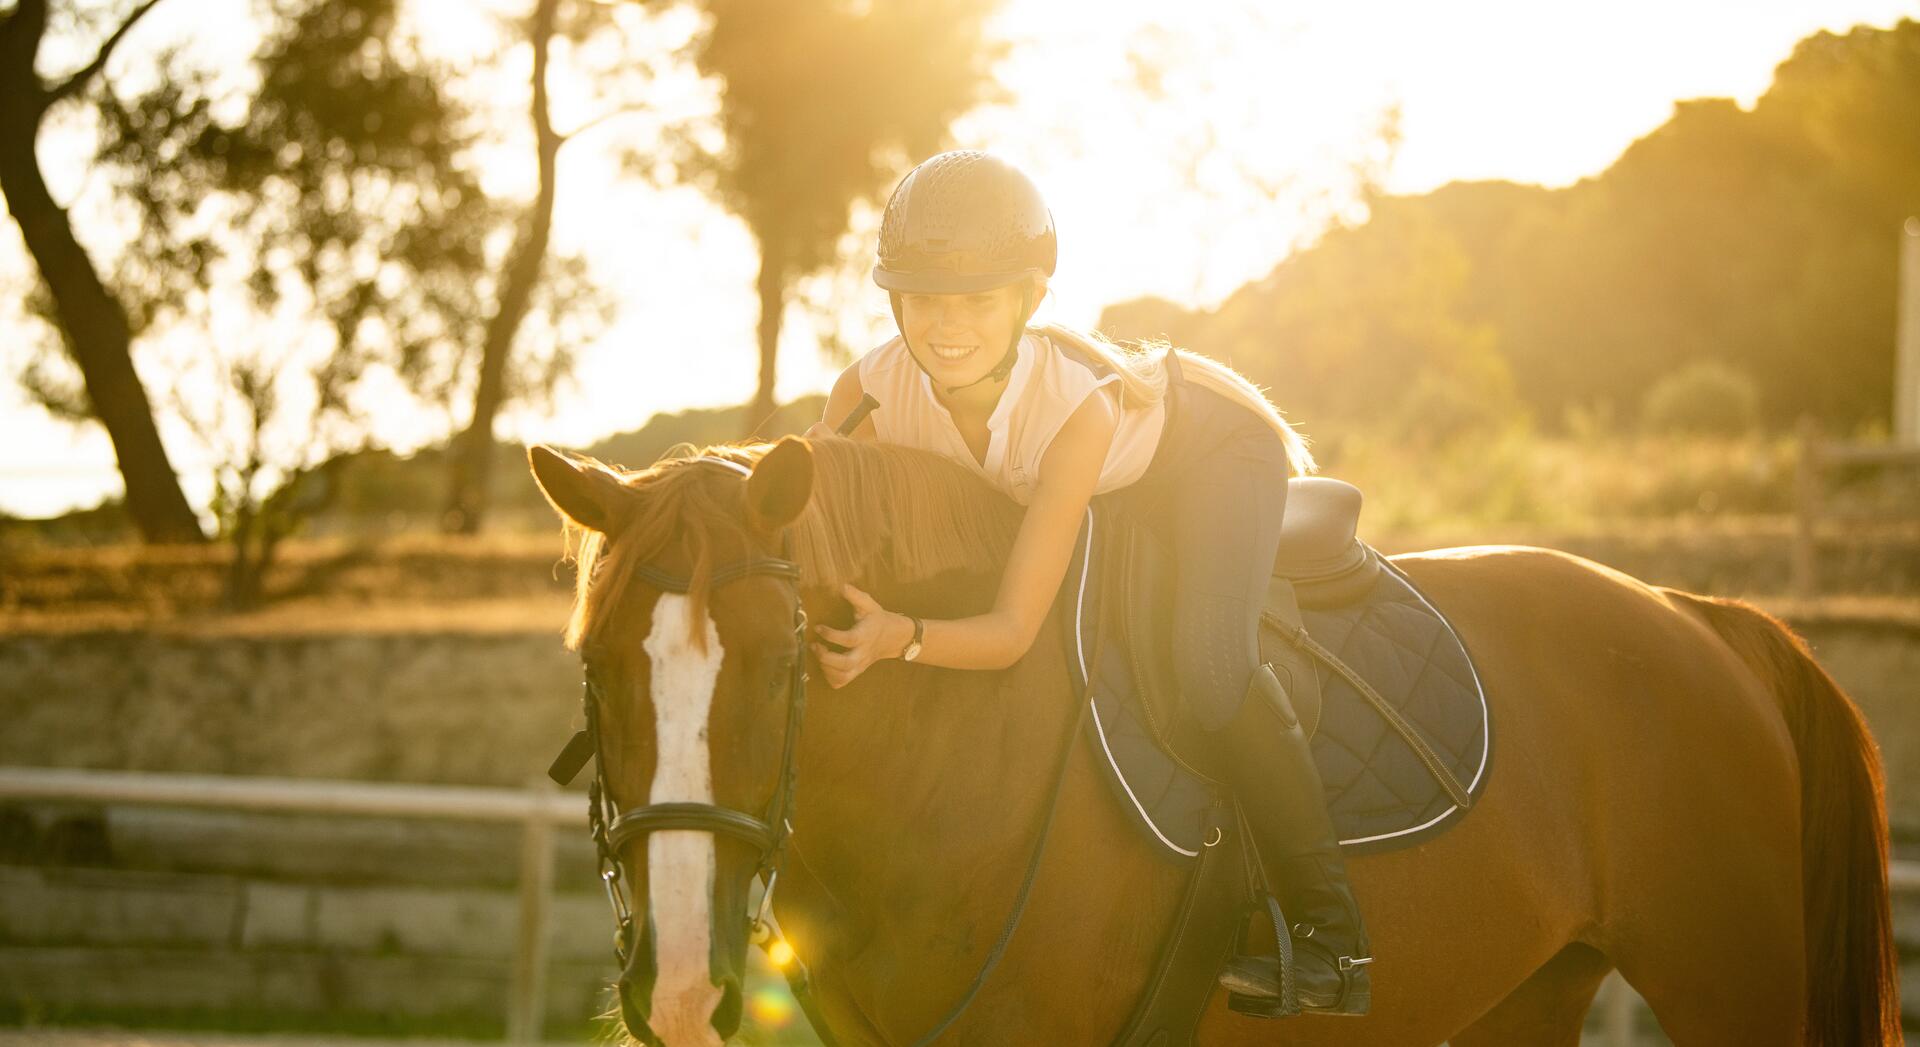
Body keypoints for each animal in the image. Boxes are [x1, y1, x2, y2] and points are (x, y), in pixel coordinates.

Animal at [533, 434, 1896, 1045]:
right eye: (594, 669)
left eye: (783, 666)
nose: (685, 987)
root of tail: (1698, 618)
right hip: (1535, 989)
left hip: (1739, 985)